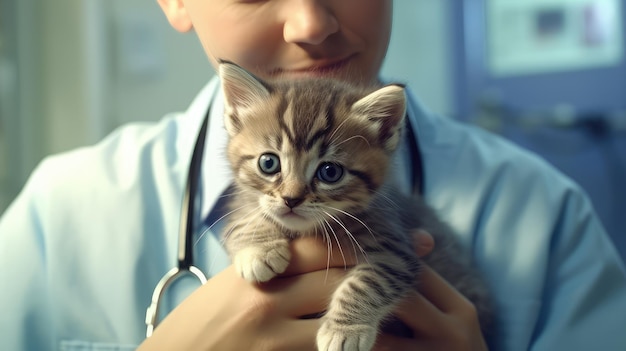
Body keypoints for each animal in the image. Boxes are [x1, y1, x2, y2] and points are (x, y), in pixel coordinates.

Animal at [217, 61, 490, 351]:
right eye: (268, 163)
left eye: (330, 172)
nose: (291, 199)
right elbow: (240, 220)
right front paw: (258, 250)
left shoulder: (395, 247)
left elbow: (370, 282)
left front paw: (345, 329)